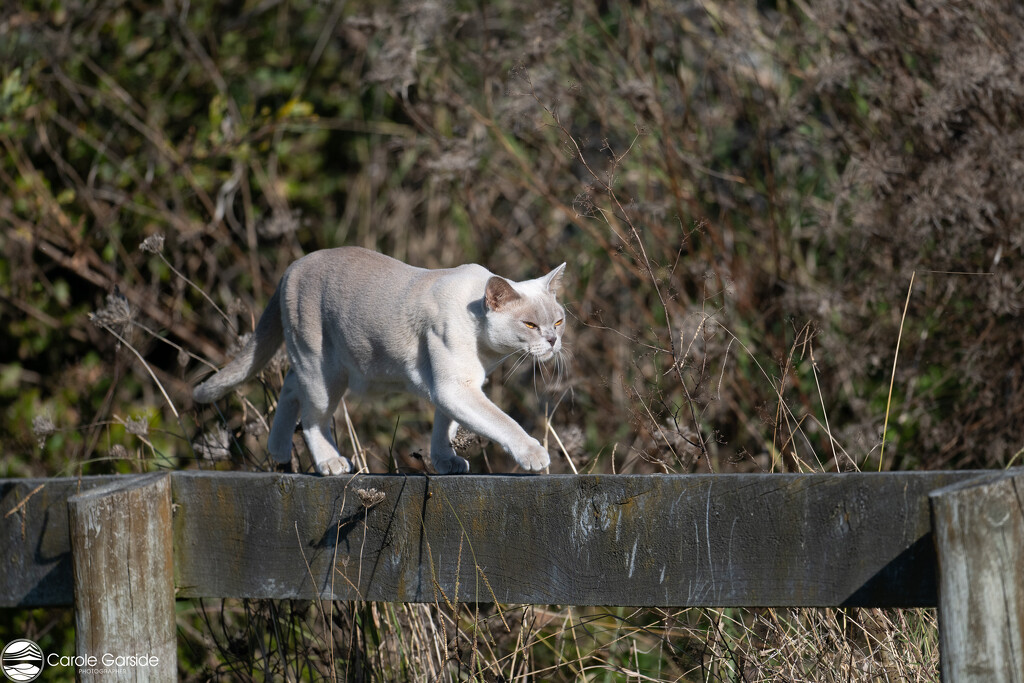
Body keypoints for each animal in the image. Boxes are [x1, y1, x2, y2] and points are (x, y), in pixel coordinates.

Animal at [192, 245, 569, 475]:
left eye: (558, 322)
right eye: (530, 325)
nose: (553, 341)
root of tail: (293, 266)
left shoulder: (452, 389)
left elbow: (444, 427)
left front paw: (445, 462)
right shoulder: (455, 387)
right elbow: (503, 422)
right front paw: (536, 456)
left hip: (317, 367)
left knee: (289, 388)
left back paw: (279, 450)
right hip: (323, 373)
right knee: (312, 418)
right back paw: (330, 463)